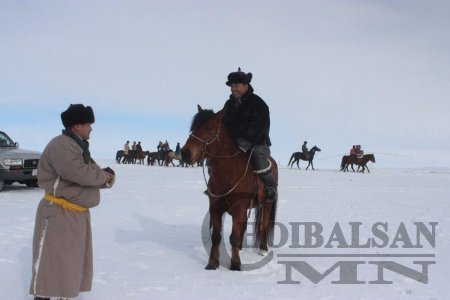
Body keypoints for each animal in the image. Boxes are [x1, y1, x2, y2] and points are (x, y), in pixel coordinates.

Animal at [181, 106, 276, 272]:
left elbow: (234, 237)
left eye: (209, 127)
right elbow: (216, 236)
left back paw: (263, 250)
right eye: (193, 128)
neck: (228, 173)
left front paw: (236, 265)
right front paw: (212, 263)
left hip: (267, 204)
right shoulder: (215, 208)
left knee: (263, 225)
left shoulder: (238, 208)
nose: (185, 153)